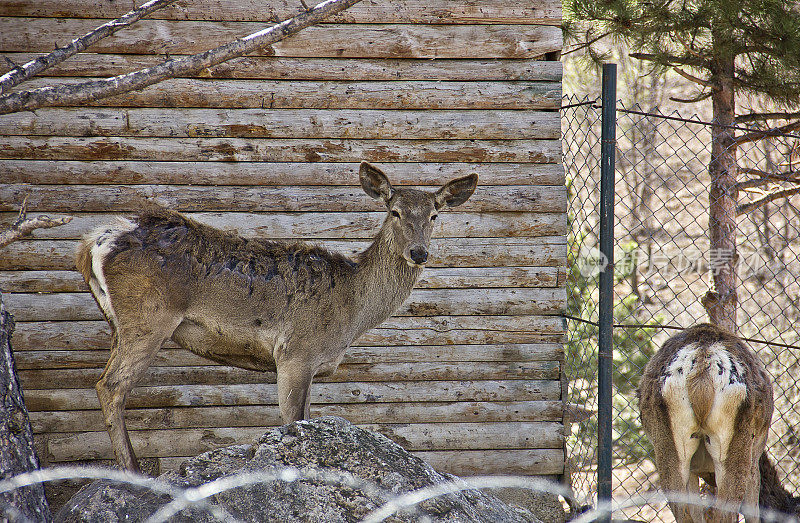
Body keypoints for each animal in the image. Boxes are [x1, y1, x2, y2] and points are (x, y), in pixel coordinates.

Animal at [75, 162, 476, 472]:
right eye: (395, 212)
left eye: (434, 215)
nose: (419, 252)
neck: (352, 308)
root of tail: (95, 240)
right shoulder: (296, 352)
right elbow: (293, 421)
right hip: (148, 317)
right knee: (111, 385)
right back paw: (132, 470)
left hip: (117, 322)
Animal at [636, 326, 776, 520]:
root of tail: (702, 367)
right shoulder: (755, 461)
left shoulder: (694, 468)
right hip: (739, 447)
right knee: (724, 512)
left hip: (669, 446)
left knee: (682, 510)